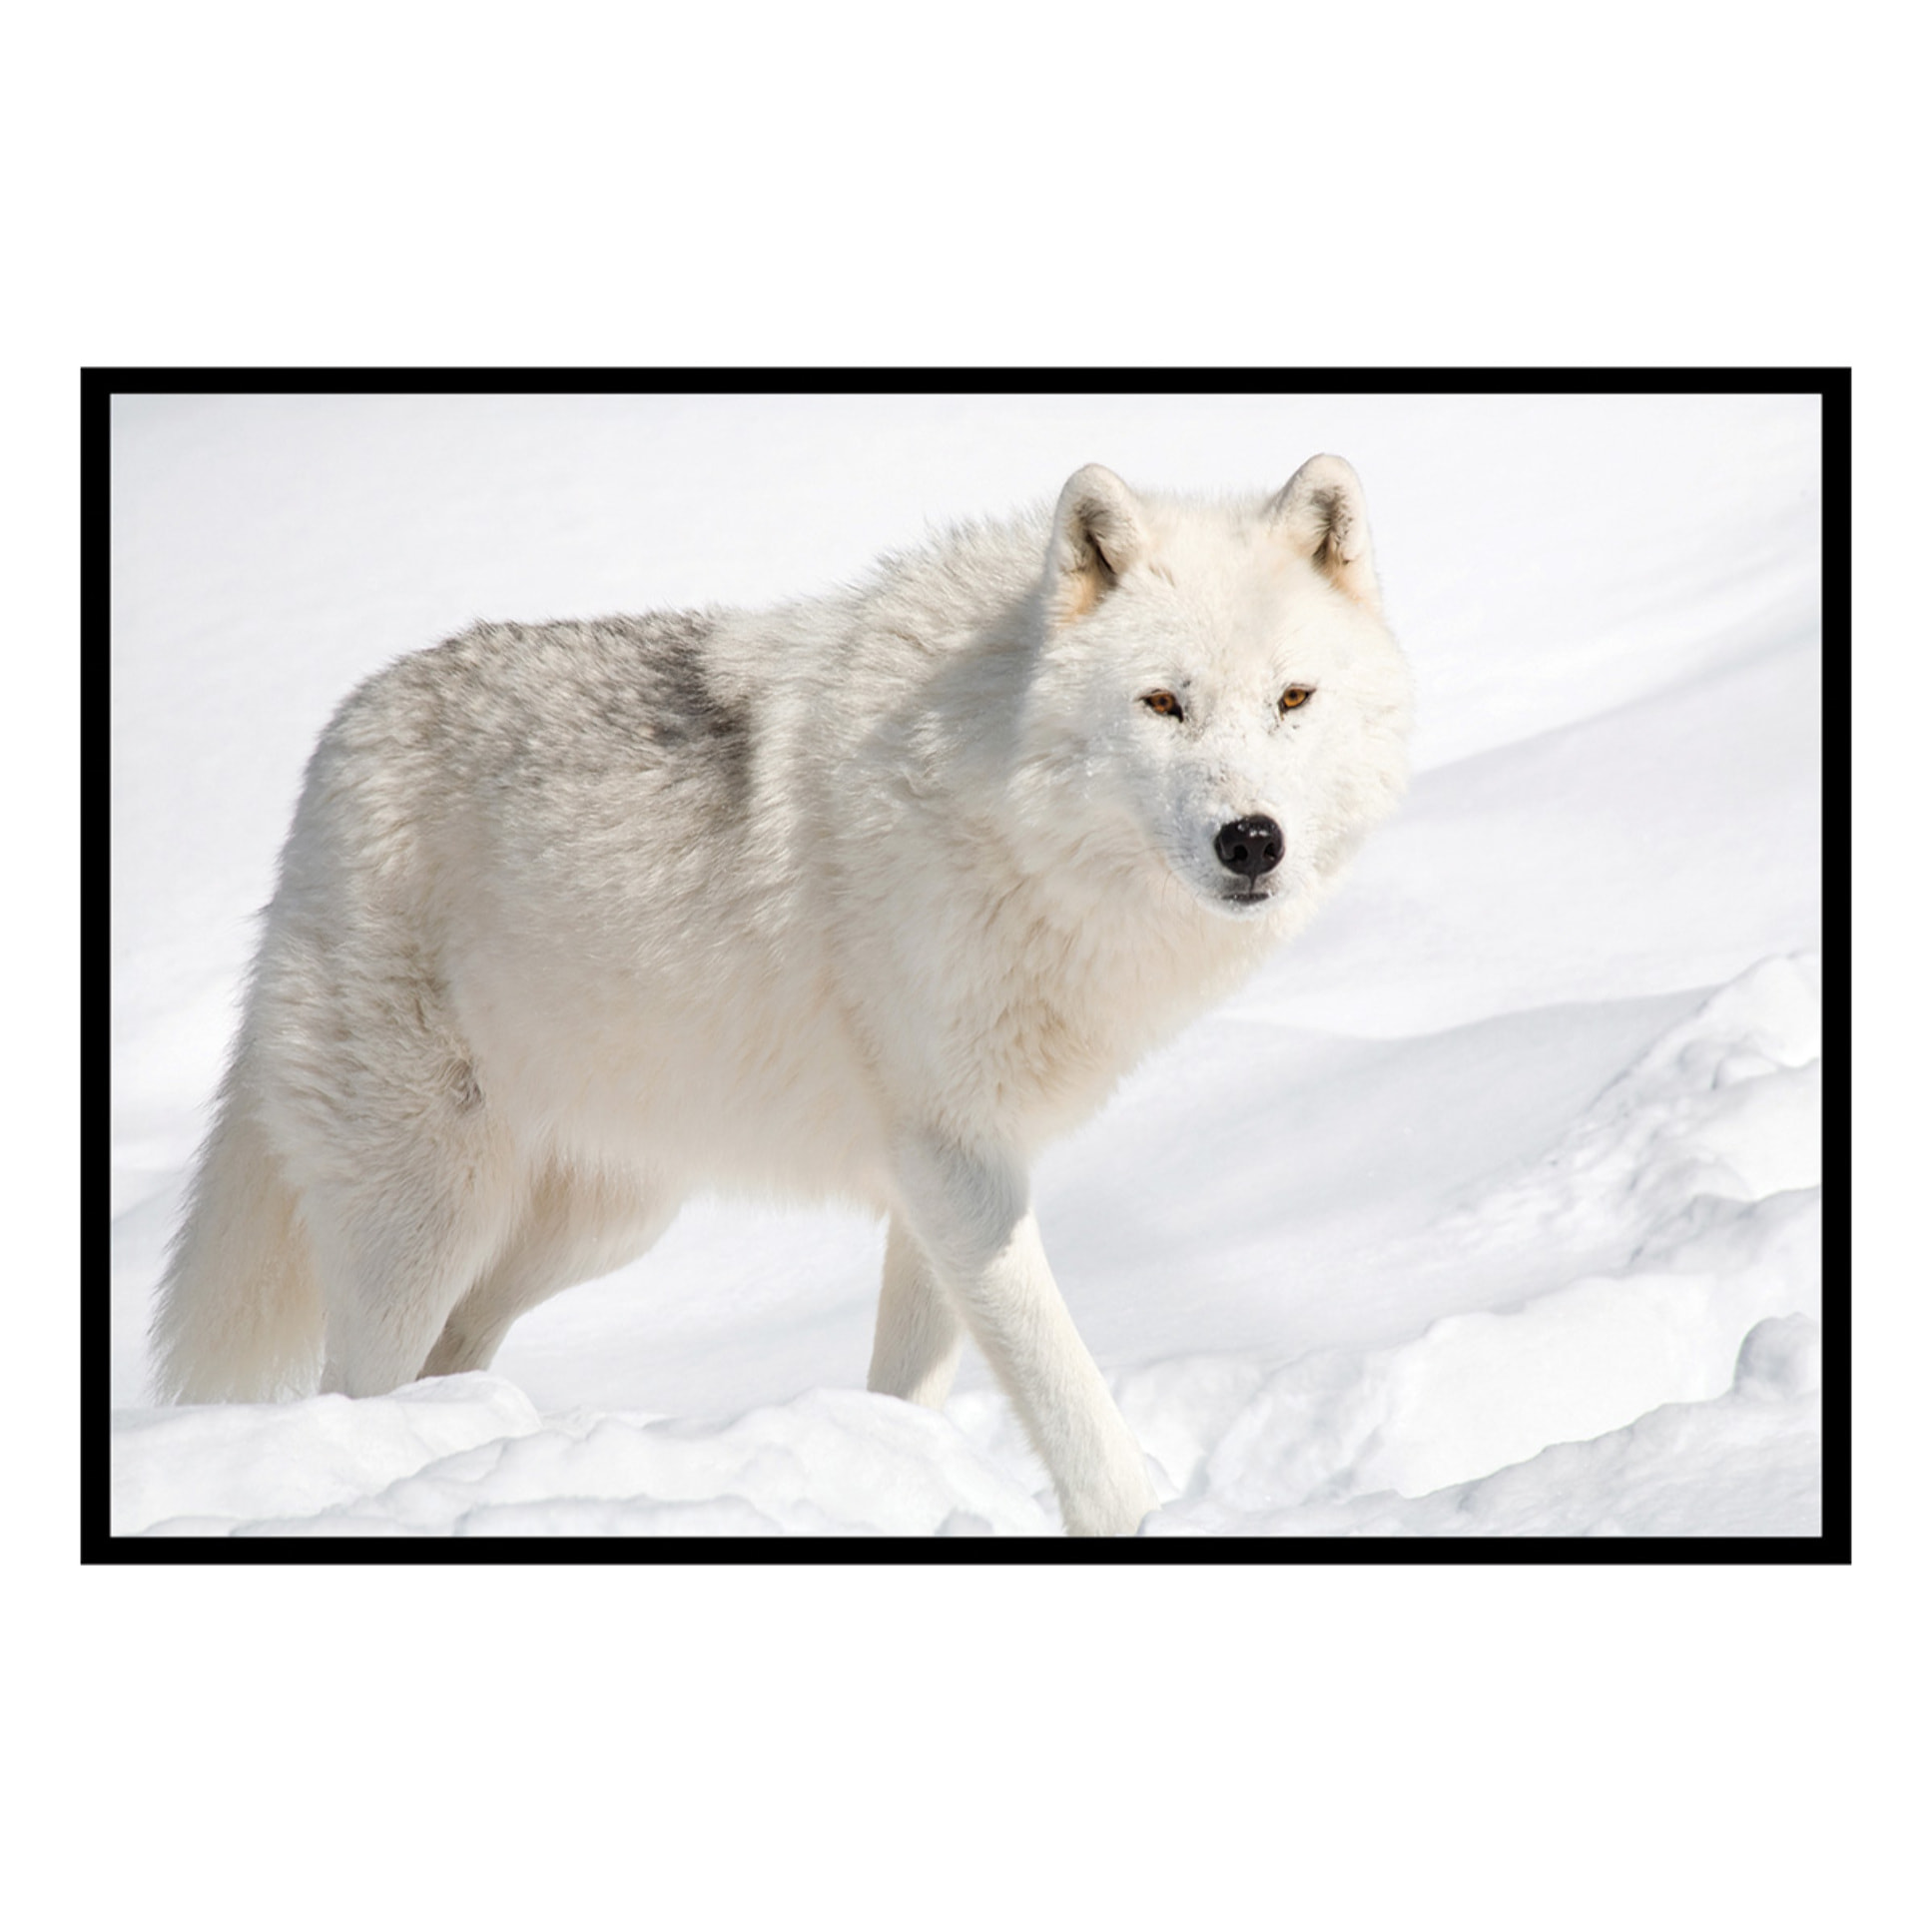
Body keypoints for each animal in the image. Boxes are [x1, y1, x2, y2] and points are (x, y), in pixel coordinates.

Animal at [151, 455, 1413, 1536]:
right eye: (1163, 704)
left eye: (1293, 699)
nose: (1251, 840)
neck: (1001, 815)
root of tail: (338, 737)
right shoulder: (958, 1166)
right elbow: (1074, 1407)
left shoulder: (940, 1181)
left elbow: (909, 1390)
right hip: (425, 1217)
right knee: (352, 1388)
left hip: (599, 1225)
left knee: (450, 1361)